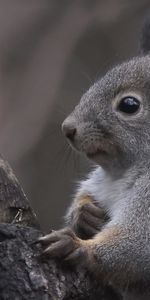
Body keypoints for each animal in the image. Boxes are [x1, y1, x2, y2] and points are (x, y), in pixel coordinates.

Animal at [38, 18, 150, 298]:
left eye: (130, 105)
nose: (68, 128)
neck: (119, 173)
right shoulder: (99, 183)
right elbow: (85, 195)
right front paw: (84, 214)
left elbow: (138, 242)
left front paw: (78, 247)